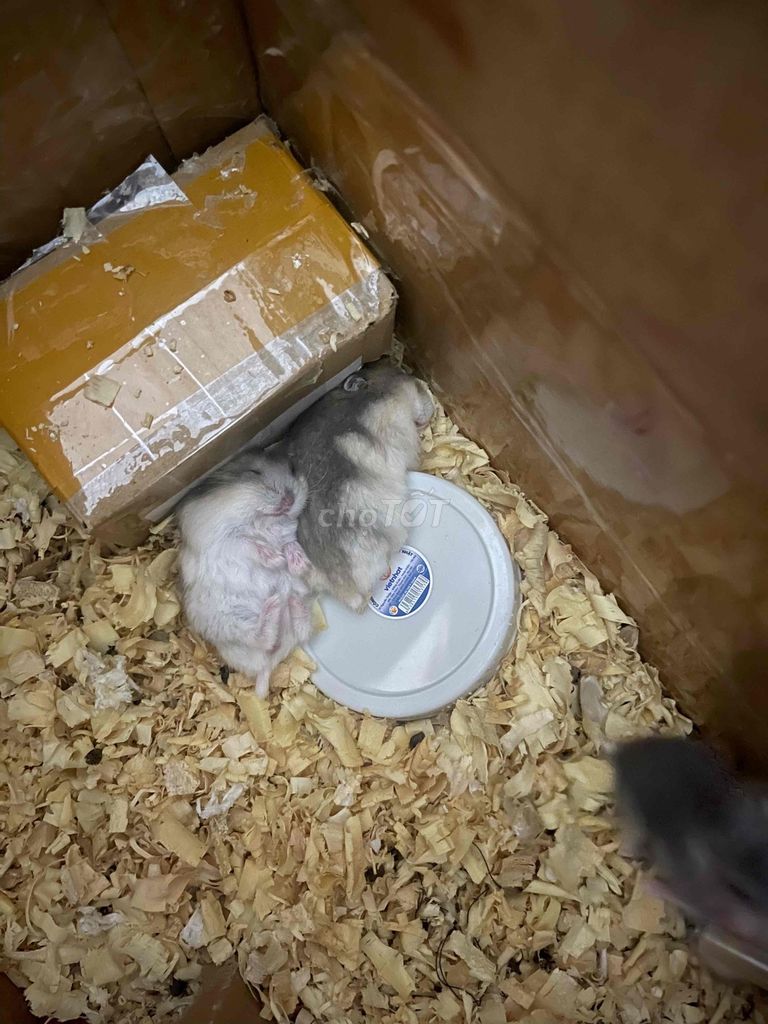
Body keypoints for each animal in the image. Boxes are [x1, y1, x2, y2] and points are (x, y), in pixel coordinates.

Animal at [177, 451, 312, 697]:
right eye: (253, 472)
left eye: (292, 469)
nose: (289, 500)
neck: (263, 522)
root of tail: (265, 666)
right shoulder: (224, 541)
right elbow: (249, 542)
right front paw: (276, 559)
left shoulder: (287, 533)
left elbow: (290, 544)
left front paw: (298, 563)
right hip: (228, 620)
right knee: (259, 638)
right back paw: (275, 604)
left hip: (285, 630)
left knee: (298, 631)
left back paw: (290, 602)